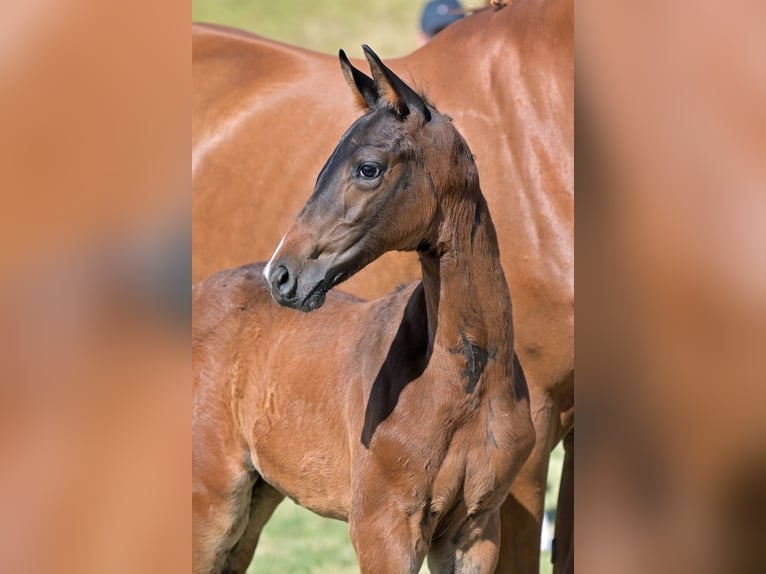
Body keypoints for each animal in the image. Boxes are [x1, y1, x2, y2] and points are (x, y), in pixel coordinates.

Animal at [192, 1, 573, 571]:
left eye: (368, 168)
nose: (282, 275)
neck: (462, 380)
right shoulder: (382, 527)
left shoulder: (475, 529)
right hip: (211, 501)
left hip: (255, 503)